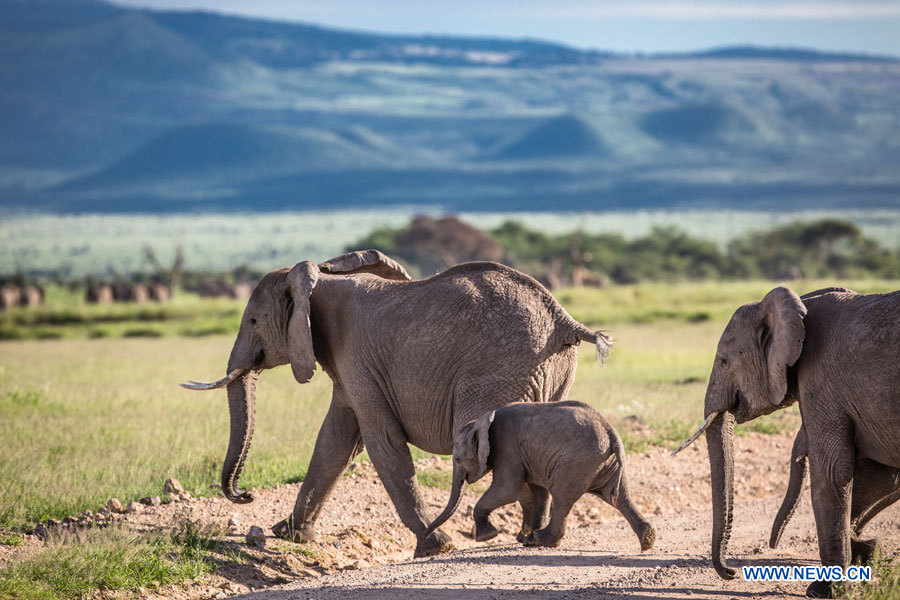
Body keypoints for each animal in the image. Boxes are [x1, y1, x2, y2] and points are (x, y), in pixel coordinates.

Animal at [181, 250, 612, 556]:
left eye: (254, 321)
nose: (245, 495)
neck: (317, 278)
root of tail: (564, 320)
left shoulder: (356, 356)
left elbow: (379, 440)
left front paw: (435, 547)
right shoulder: (347, 366)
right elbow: (335, 440)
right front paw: (288, 534)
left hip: (503, 369)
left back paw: (509, 537)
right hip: (552, 371)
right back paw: (531, 538)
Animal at [426, 400, 656, 552]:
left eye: (457, 459)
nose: (428, 532)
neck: (480, 421)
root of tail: (611, 431)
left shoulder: (507, 449)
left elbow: (508, 489)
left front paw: (488, 536)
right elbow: (537, 492)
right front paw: (522, 538)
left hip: (577, 461)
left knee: (563, 498)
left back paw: (541, 540)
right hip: (604, 462)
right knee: (618, 497)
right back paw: (648, 539)